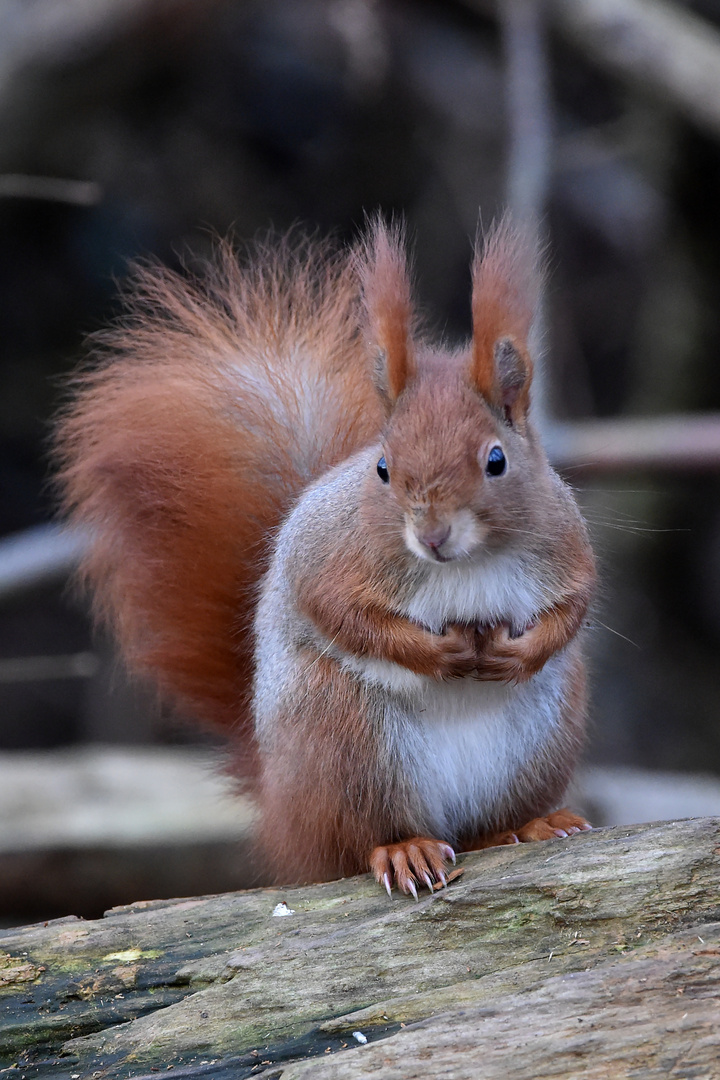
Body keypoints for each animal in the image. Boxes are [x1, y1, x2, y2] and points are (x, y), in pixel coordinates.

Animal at [55, 217, 595, 894]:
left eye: (496, 460)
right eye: (383, 467)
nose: (433, 536)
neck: (464, 567)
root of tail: (282, 809)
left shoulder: (565, 545)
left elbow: (571, 610)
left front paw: (517, 652)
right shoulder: (328, 553)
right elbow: (339, 610)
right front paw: (435, 651)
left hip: (540, 738)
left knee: (480, 829)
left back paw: (528, 825)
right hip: (347, 739)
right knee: (359, 841)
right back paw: (404, 849)